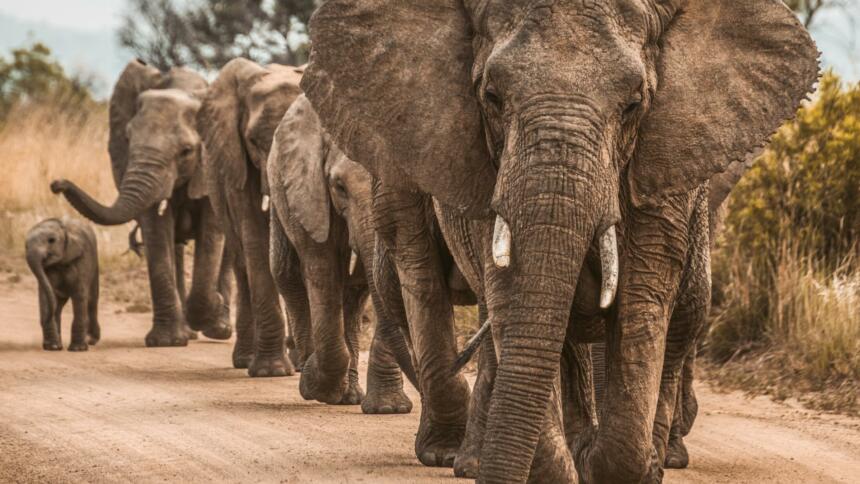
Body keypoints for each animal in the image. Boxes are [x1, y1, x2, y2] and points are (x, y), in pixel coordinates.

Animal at [26, 217, 101, 350]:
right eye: (25, 245)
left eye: (51, 240)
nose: (45, 319)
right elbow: (46, 294)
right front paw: (52, 347)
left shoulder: (83, 258)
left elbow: (79, 294)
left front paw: (77, 349)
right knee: (58, 305)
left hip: (94, 266)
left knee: (91, 301)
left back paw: (91, 340)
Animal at [52, 61, 230, 348]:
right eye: (127, 139)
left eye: (186, 151)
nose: (57, 184)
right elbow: (156, 231)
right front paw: (167, 342)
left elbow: (212, 233)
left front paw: (211, 307)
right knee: (175, 247)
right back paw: (189, 331)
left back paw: (219, 329)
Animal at [197, 57, 304, 378]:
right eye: (254, 141)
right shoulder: (236, 160)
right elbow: (255, 236)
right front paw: (271, 371)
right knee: (242, 261)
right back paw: (246, 359)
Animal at [268, 94, 418, 408]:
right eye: (339, 186)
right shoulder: (309, 192)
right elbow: (322, 271)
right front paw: (315, 386)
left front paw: (389, 408)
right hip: (280, 192)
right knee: (286, 273)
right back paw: (311, 376)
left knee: (355, 293)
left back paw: (348, 397)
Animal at [302, 1, 820, 482]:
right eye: (491, 97)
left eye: (634, 104)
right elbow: (513, 296)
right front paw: (570, 462)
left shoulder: (666, 164)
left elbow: (642, 299)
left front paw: (613, 462)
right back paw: (458, 455)